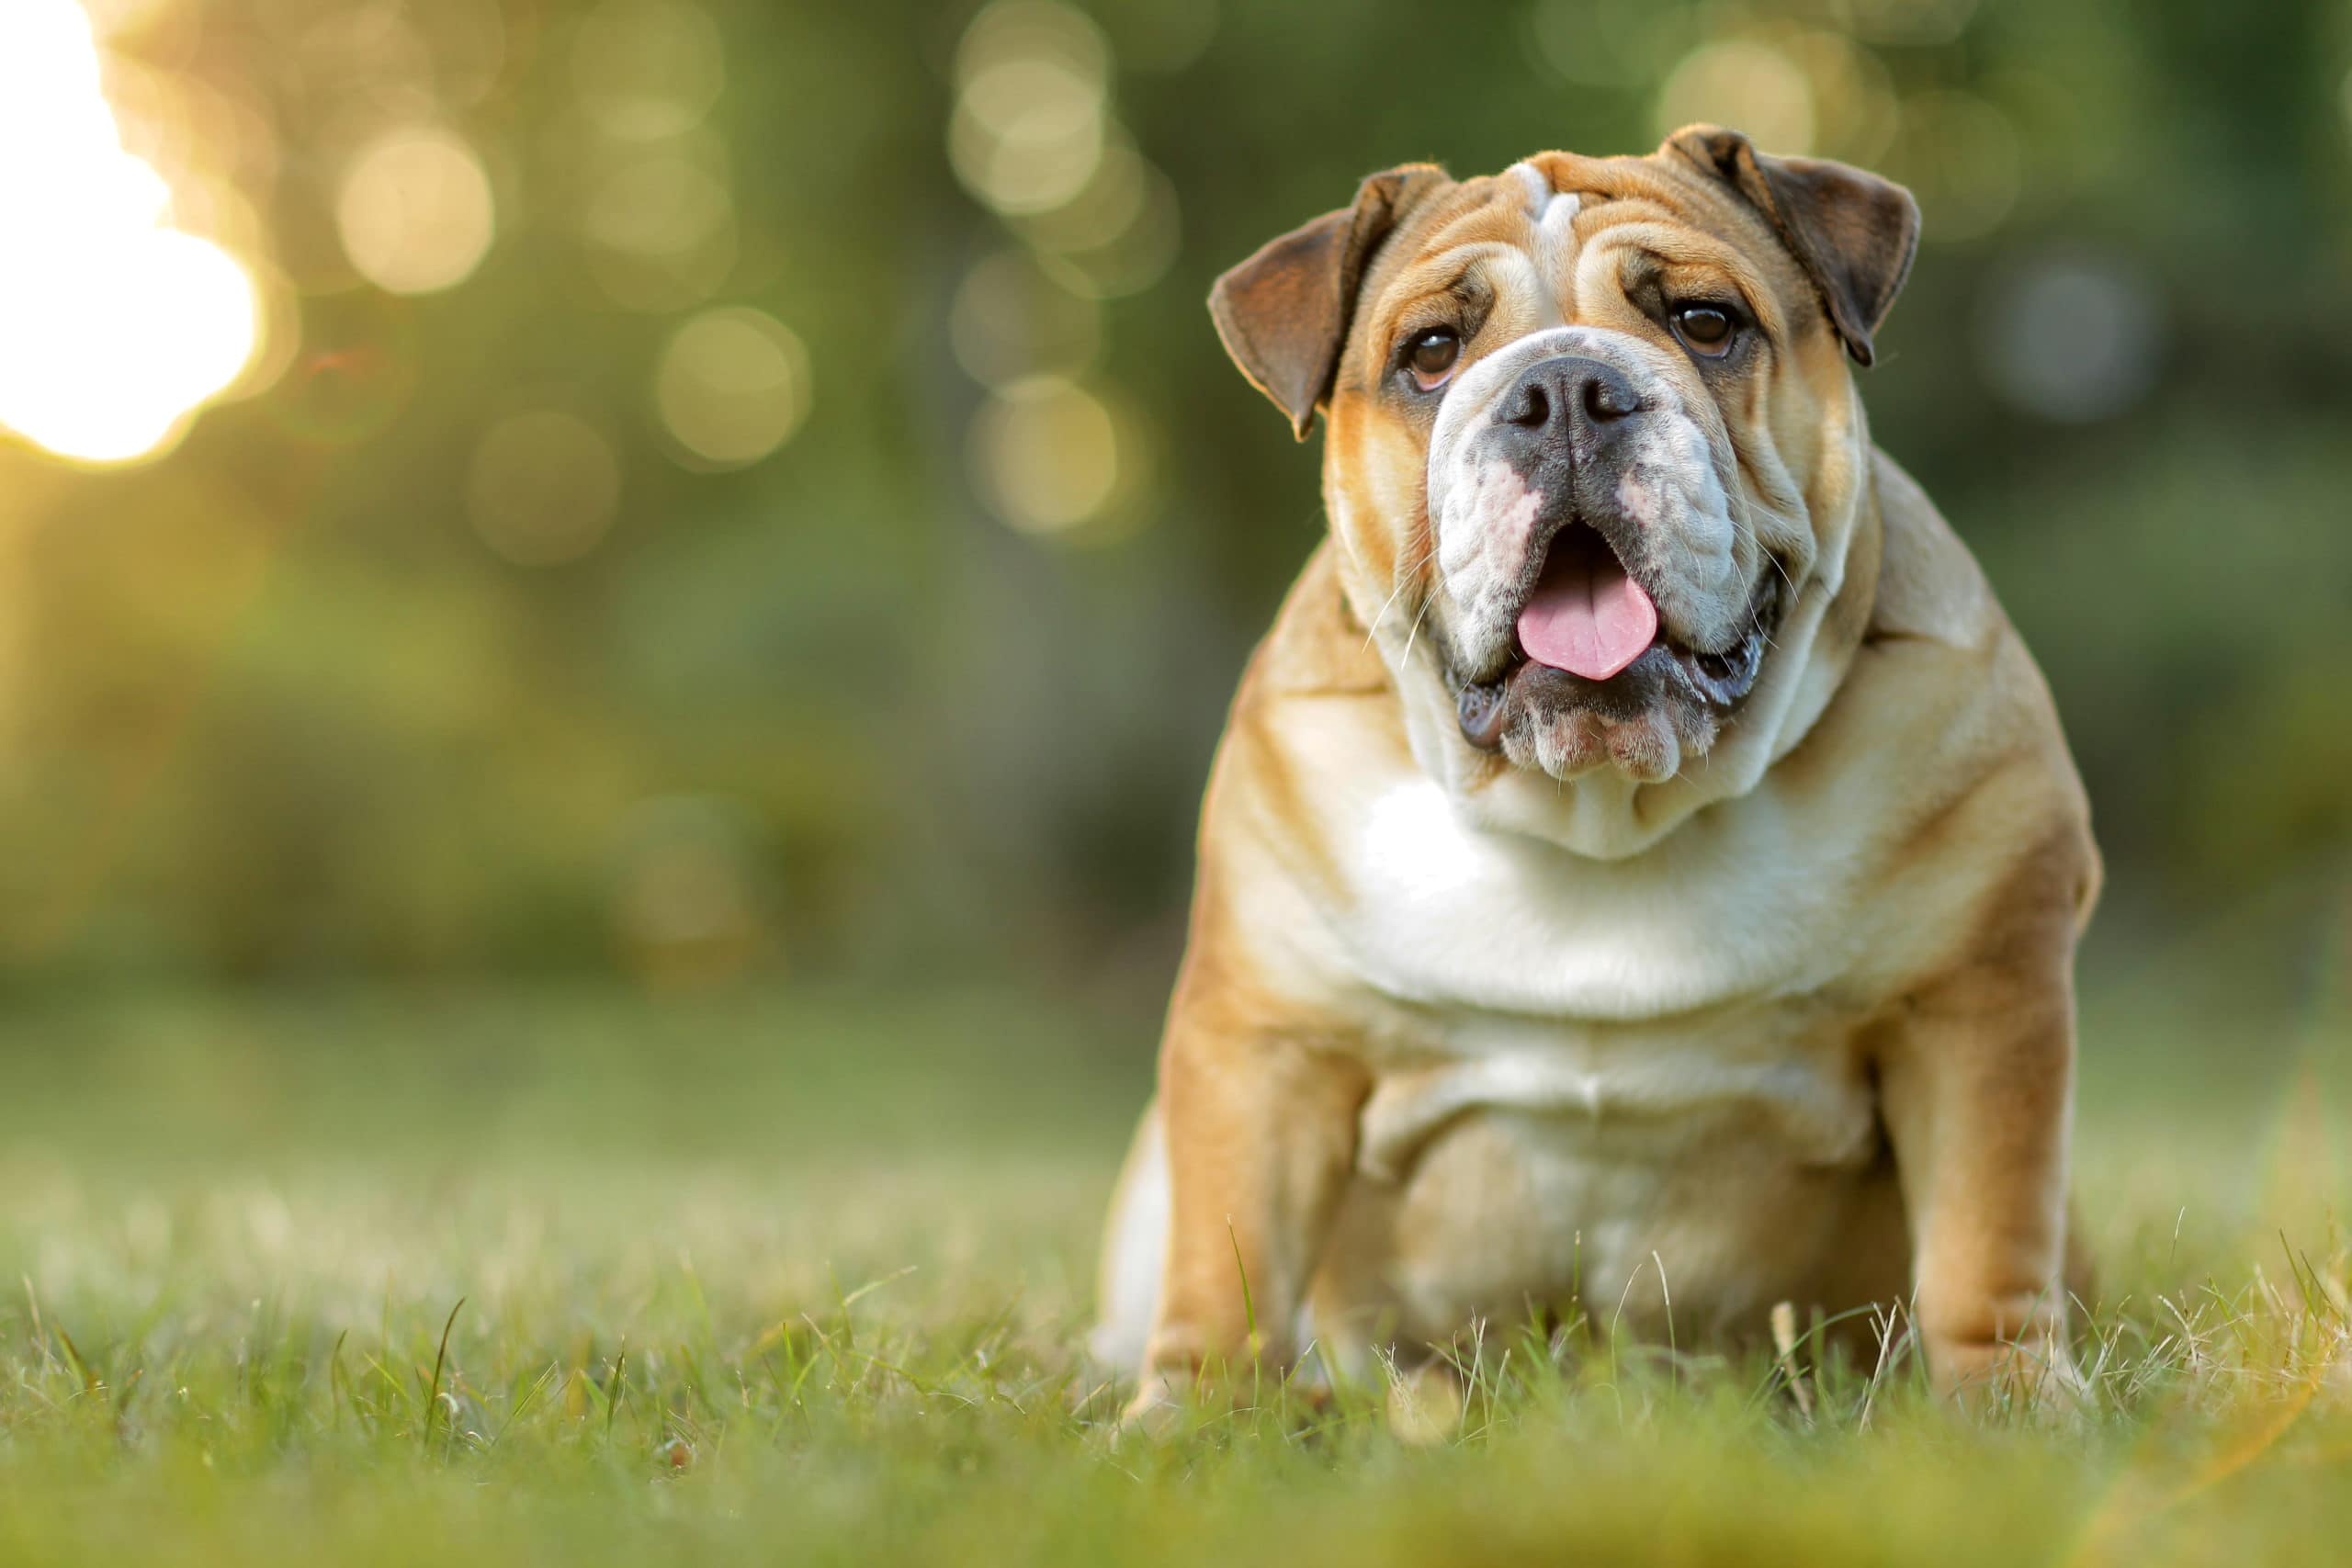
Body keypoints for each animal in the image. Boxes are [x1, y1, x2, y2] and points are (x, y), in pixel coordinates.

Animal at [1091, 129, 2107, 1419]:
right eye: (1431, 353)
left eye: (1707, 322)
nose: (1564, 390)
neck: (1602, 811)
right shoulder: (1268, 1042)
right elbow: (1229, 1259)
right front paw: (1192, 1417)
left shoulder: (1979, 1005)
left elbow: (1986, 1236)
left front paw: (2009, 1406)